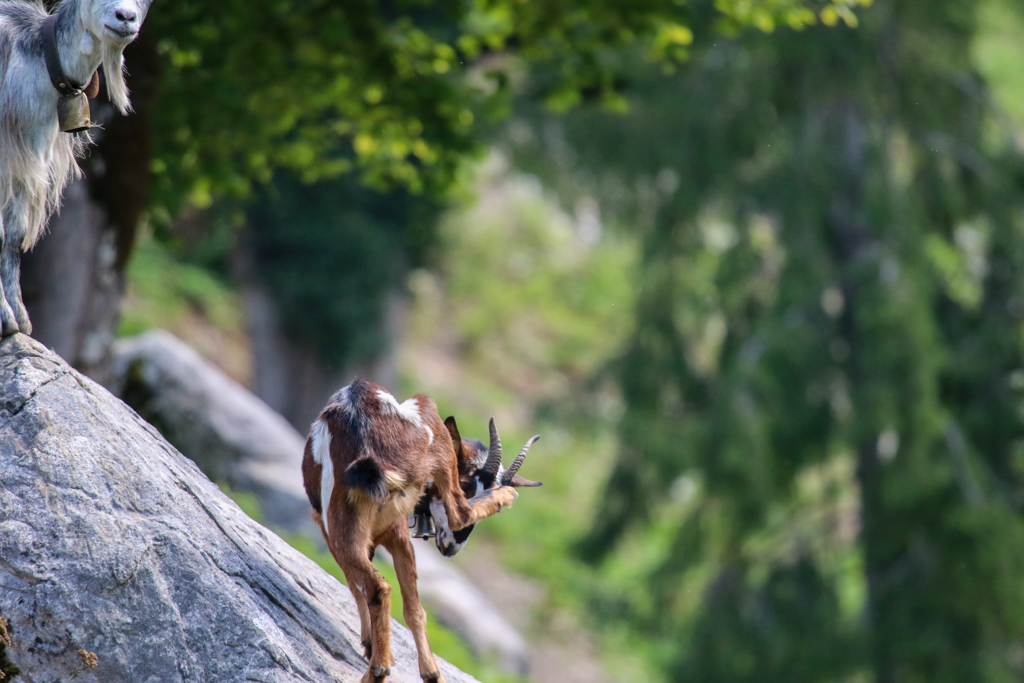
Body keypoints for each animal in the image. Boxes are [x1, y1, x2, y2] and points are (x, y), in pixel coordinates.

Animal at [299, 378, 540, 683]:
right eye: (468, 484)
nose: (452, 547)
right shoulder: (392, 535)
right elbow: (405, 604)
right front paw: (378, 647)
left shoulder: (333, 528)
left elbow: (355, 585)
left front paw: (370, 644)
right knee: (389, 593)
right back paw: (417, 672)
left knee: (455, 518)